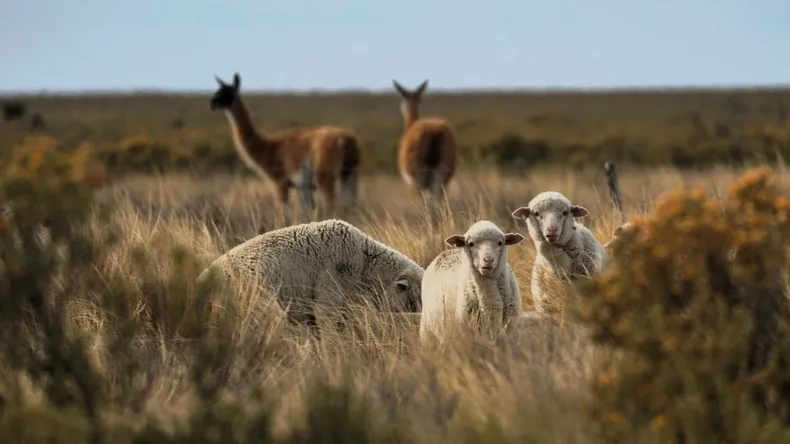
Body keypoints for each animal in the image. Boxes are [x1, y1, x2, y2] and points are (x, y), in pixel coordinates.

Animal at [209, 73, 360, 212]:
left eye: (228, 93)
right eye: (217, 90)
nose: (212, 103)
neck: (268, 148)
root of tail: (347, 140)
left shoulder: (280, 183)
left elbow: (281, 216)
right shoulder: (303, 187)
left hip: (325, 176)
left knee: (332, 206)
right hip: (349, 175)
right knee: (351, 206)